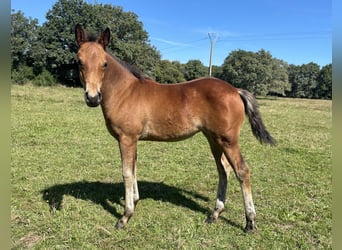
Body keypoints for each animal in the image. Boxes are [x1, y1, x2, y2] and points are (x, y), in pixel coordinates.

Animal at [75, 23, 276, 232]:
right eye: (79, 61)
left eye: (105, 63)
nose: (92, 98)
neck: (125, 92)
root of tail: (235, 90)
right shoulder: (134, 140)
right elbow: (135, 168)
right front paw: (135, 202)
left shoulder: (126, 139)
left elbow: (127, 173)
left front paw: (125, 216)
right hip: (214, 139)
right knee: (223, 170)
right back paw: (214, 214)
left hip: (228, 140)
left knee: (242, 171)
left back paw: (250, 221)